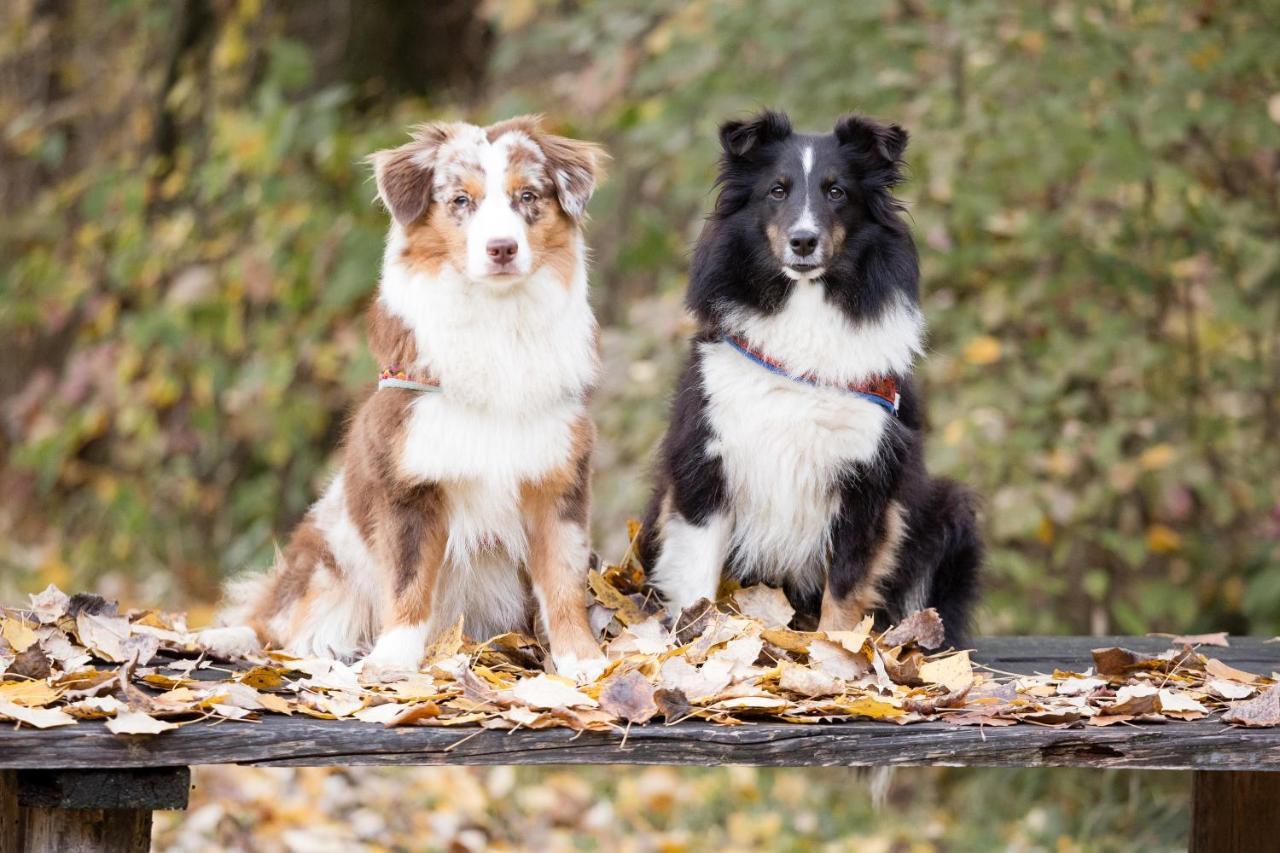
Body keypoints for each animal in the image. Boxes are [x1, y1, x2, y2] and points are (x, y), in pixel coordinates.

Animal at [221, 117, 609, 676]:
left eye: (528, 196)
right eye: (460, 200)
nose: (502, 248)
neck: (496, 323)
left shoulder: (556, 479)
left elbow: (562, 582)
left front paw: (582, 660)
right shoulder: (410, 486)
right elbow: (409, 581)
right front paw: (393, 661)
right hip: (325, 554)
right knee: (275, 621)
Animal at [637, 111, 977, 645]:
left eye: (836, 191)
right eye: (777, 190)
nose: (803, 241)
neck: (804, 309)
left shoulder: (866, 481)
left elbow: (845, 589)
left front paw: (838, 653)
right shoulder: (707, 462)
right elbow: (697, 578)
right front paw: (697, 643)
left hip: (951, 511)